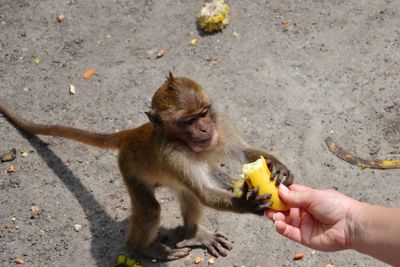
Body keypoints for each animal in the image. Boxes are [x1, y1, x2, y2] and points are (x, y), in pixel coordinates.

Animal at [0, 72, 294, 260]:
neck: (191, 144)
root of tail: (133, 134)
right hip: (128, 168)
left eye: (203, 114)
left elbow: (244, 152)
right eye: (188, 121)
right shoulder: (173, 154)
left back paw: (194, 233)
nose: (204, 128)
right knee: (153, 208)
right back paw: (142, 249)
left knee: (186, 193)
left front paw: (279, 167)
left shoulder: (221, 124)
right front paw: (247, 203)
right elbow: (203, 193)